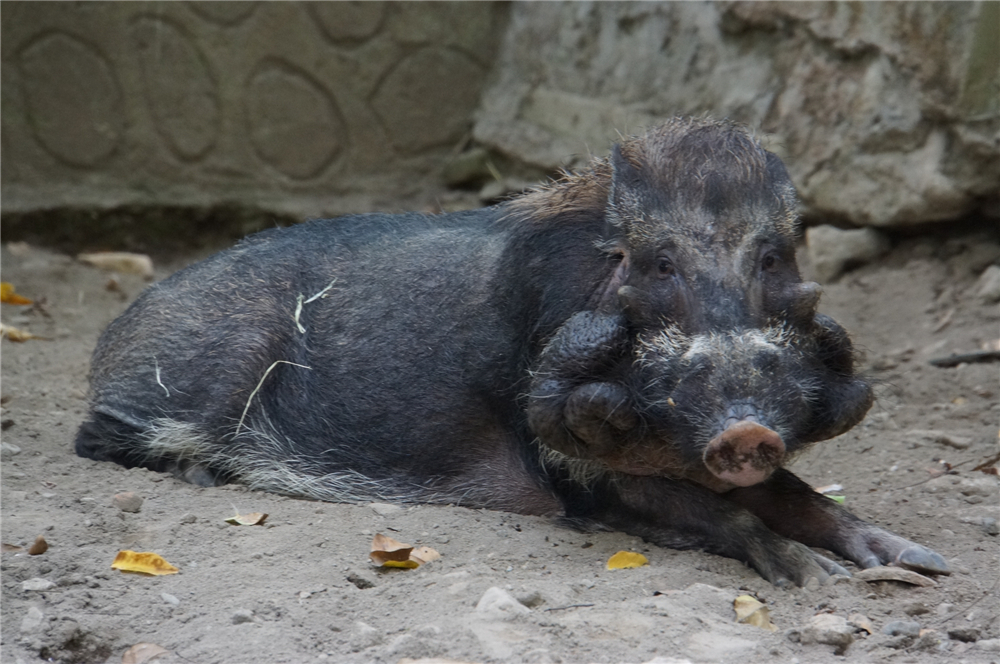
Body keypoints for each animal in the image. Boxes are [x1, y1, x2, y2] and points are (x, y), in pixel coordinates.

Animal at [75, 118, 948, 586]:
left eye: (773, 261)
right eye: (659, 268)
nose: (748, 432)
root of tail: (113, 332)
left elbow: (804, 497)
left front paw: (919, 563)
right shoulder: (578, 467)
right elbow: (727, 516)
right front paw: (820, 582)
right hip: (198, 376)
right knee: (96, 438)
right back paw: (195, 473)